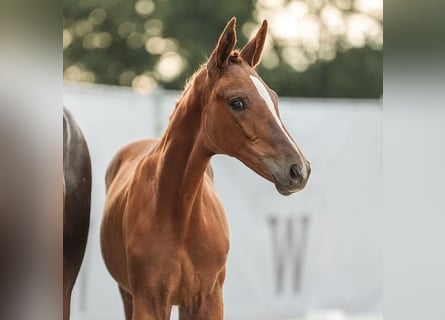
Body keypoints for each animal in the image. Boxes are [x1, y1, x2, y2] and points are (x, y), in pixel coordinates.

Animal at [100, 18, 308, 320]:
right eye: (237, 102)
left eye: (274, 99)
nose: (299, 170)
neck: (179, 214)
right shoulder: (148, 301)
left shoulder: (207, 299)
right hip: (129, 295)